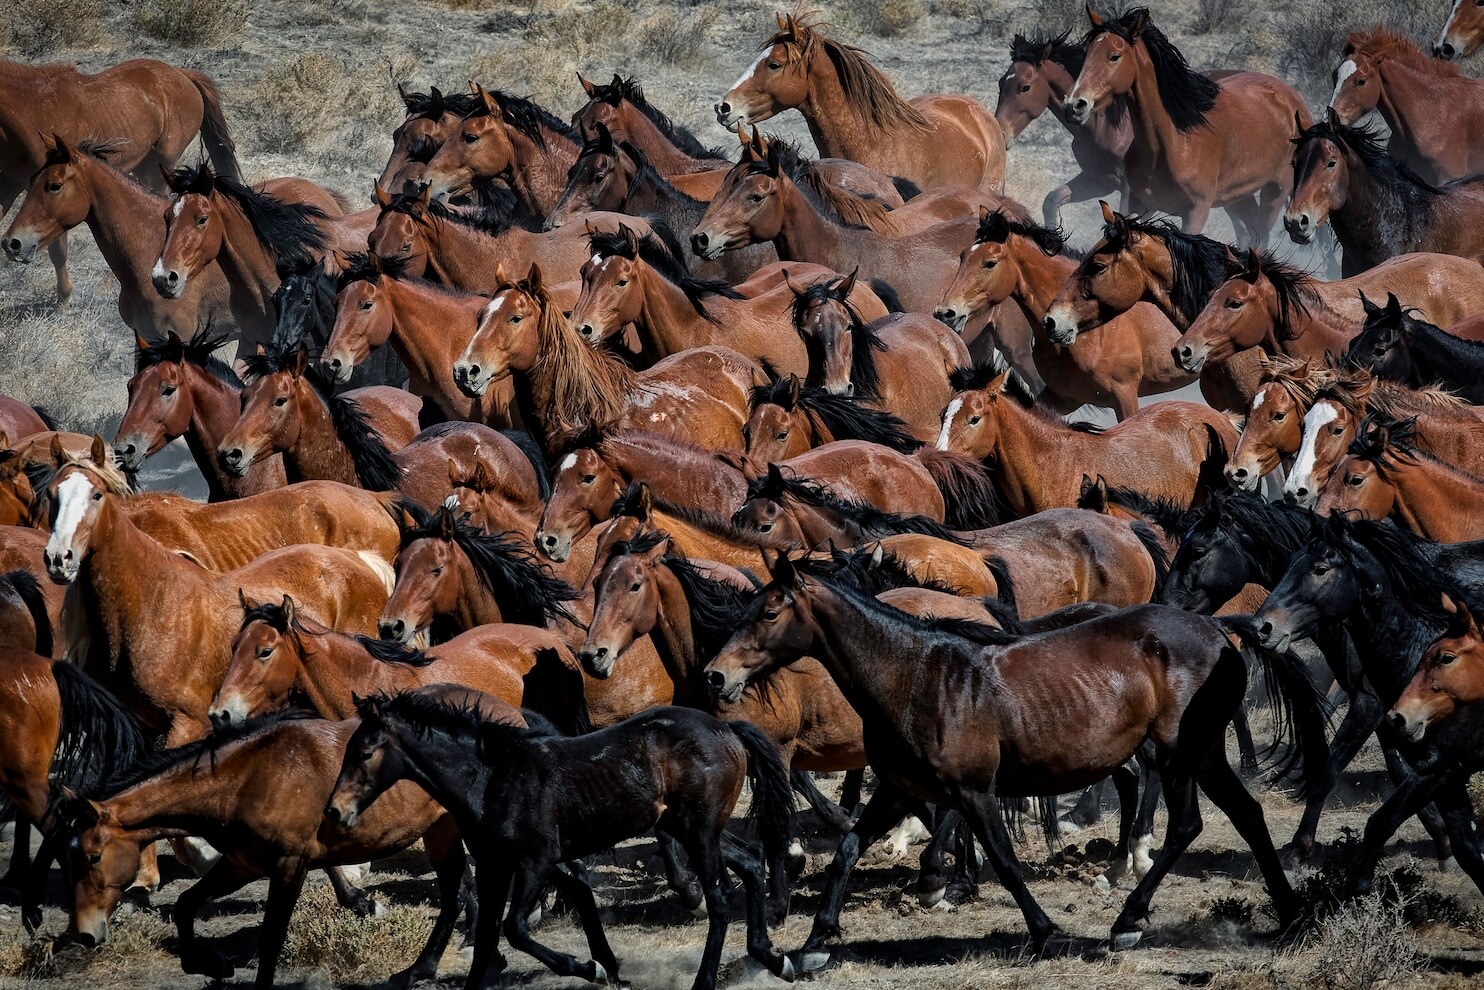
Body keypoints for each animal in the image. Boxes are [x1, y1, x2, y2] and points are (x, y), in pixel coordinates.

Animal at [0, 58, 238, 305]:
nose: (12, 246)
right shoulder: (10, 185)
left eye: (55, 186)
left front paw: (64, 297)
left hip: (160, 165)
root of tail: (182, 74)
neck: (31, 111)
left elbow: (58, 251)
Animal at [51, 706, 480, 990]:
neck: (249, 778)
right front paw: (208, 964)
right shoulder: (243, 864)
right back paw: (419, 970)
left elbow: (272, 936)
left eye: (92, 857)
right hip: (441, 832)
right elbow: (186, 904)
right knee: (457, 893)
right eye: (66, 861)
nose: (82, 935)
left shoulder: (289, 864)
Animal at [709, 553, 1322, 961]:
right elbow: (848, 849)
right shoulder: (900, 789)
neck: (916, 678)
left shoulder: (974, 791)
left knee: (1187, 824)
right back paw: (1290, 915)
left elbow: (1003, 861)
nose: (716, 674)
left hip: (1178, 755)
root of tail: (1218, 628)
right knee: (1247, 815)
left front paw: (1045, 932)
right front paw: (816, 941)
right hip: (1206, 755)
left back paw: (1128, 919)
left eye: (769, 613)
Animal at [1067, 8, 1308, 244]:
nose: (1074, 104)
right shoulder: (1140, 203)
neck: (1174, 142)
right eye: (1086, 54)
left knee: (1262, 237)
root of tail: (1294, 99)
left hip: (1276, 190)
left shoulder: (1195, 213)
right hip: (1240, 195)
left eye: (1114, 57)